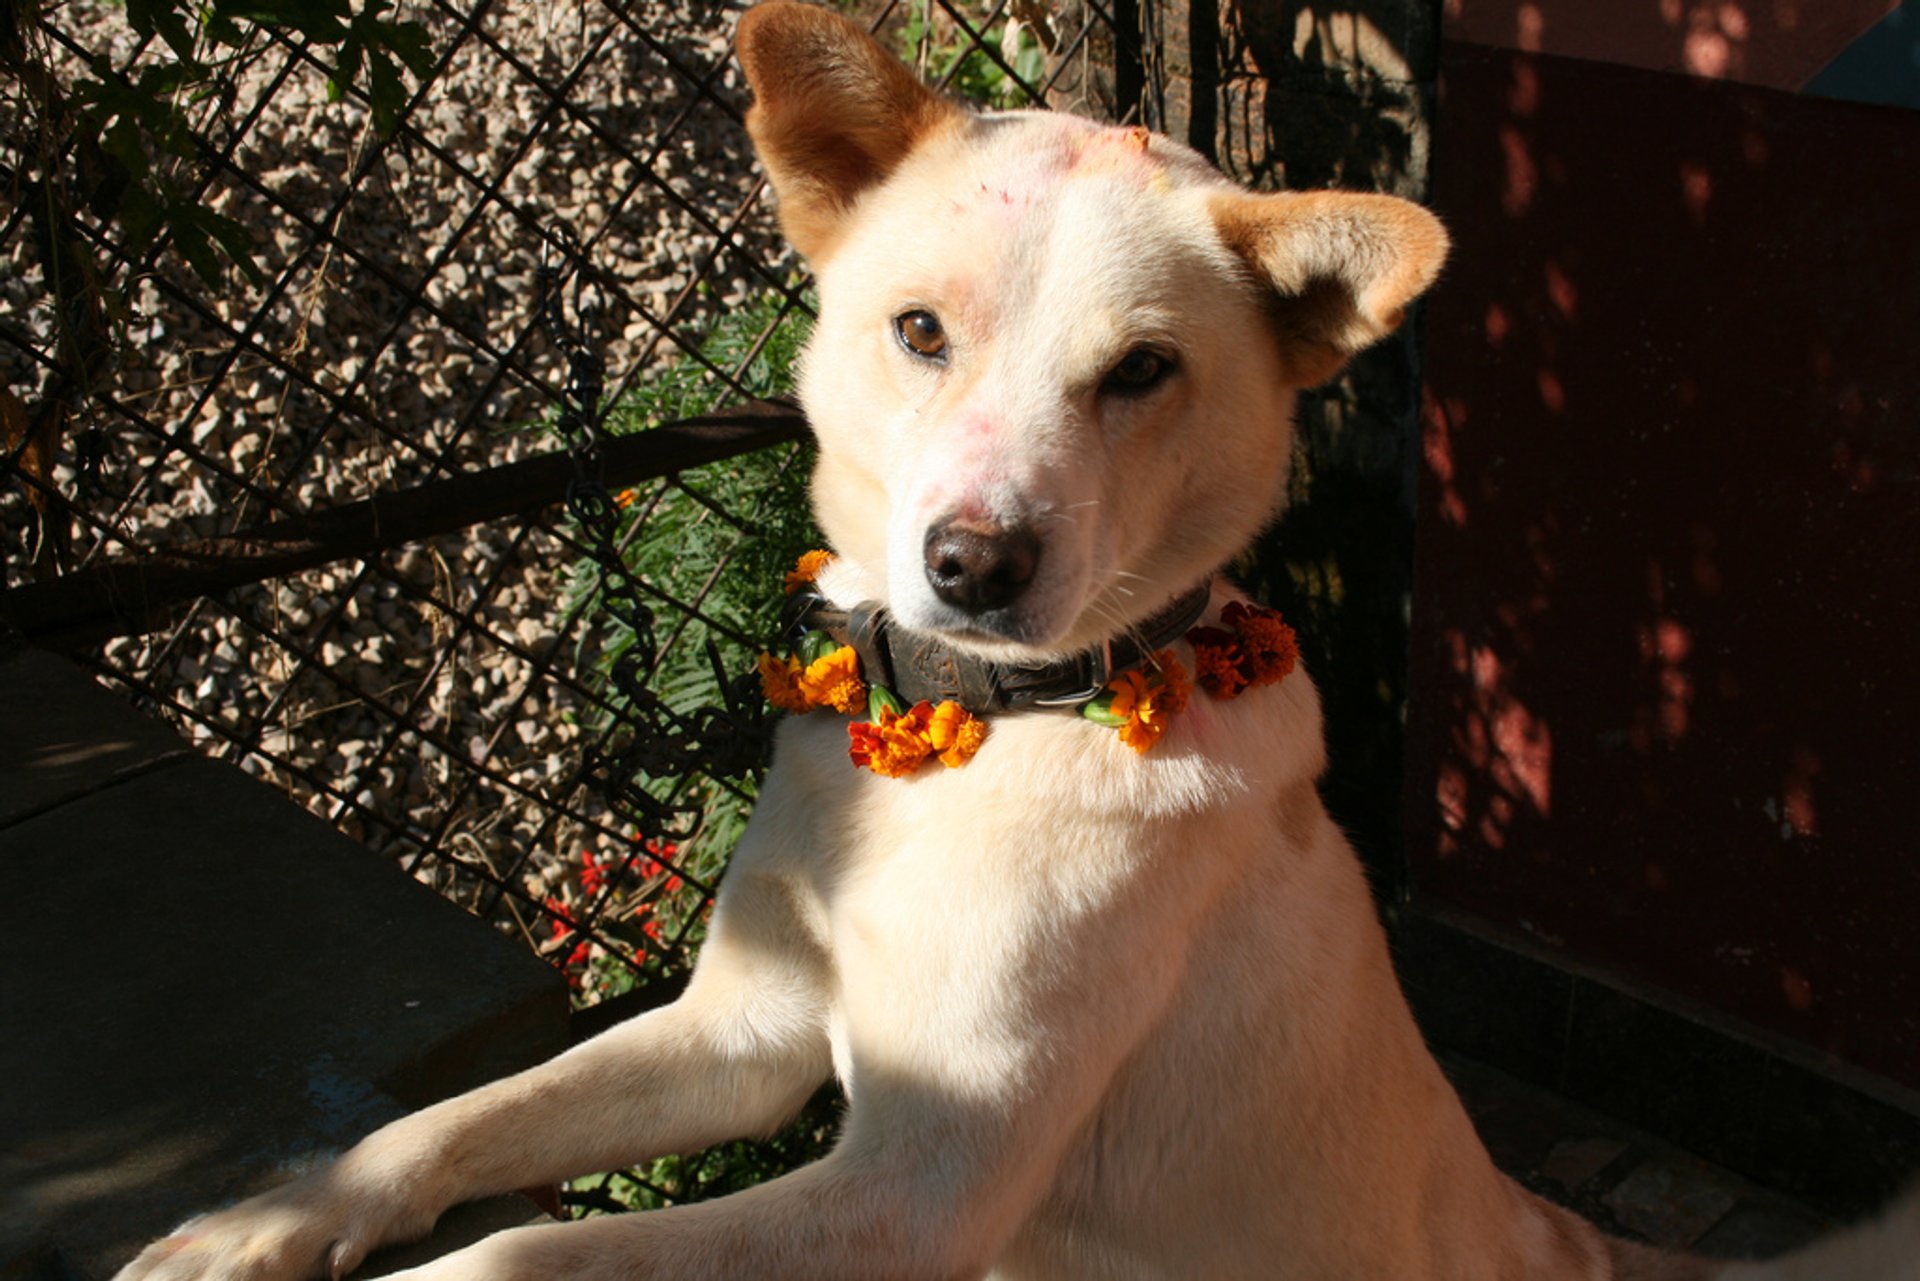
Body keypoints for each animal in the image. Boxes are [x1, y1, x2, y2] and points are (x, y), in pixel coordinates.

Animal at [116, 5, 1920, 1275]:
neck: (977, 741)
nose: (972, 564)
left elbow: (524, 1261)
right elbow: (458, 1123)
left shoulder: (919, 1186)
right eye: (919, 330)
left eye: (1142, 372)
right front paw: (268, 1218)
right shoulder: (744, 1041)